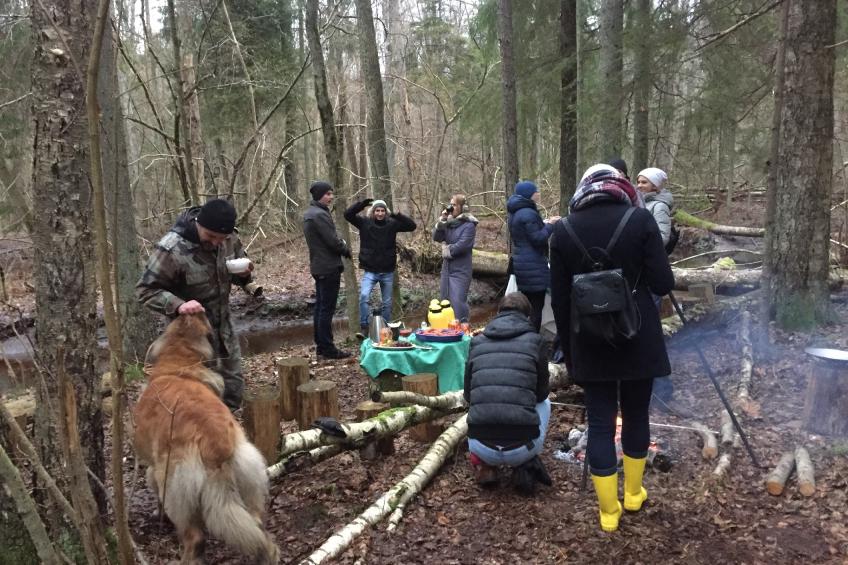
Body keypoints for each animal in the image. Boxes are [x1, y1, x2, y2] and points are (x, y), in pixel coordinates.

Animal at [133, 312, 278, 564]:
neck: (177, 366)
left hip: (174, 487)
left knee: (195, 538)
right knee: (256, 525)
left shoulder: (154, 469)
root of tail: (215, 443)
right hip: (248, 472)